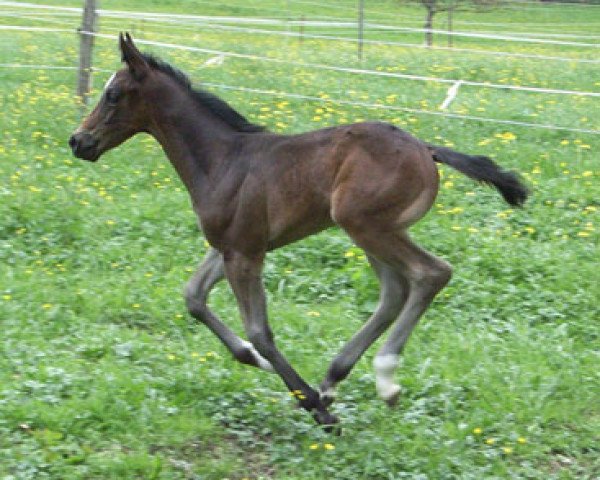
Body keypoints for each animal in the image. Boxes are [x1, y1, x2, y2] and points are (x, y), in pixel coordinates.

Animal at [70, 31, 528, 426]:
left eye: (113, 95)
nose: (78, 141)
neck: (223, 159)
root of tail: (426, 150)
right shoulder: (230, 247)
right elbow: (194, 299)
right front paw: (258, 362)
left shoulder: (245, 254)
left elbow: (259, 329)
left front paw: (313, 407)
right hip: (371, 231)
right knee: (395, 291)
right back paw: (333, 379)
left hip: (365, 225)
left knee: (430, 273)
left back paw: (381, 380)